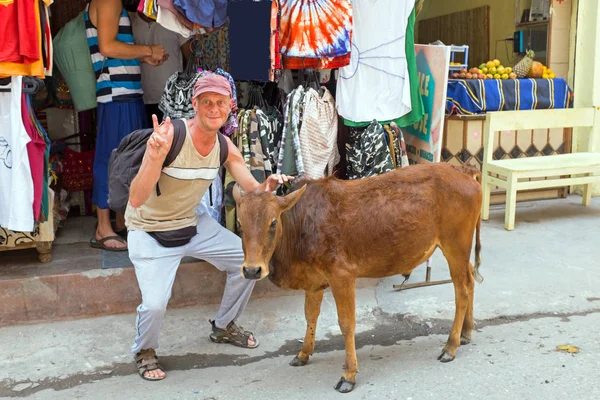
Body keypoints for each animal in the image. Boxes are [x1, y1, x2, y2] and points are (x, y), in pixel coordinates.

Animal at [234, 163, 482, 394]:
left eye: (273, 222)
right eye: (240, 223)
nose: (252, 270)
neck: (302, 222)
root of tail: (462, 169)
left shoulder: (342, 277)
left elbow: (346, 324)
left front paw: (348, 375)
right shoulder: (314, 282)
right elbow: (310, 316)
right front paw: (304, 353)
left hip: (455, 246)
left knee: (462, 289)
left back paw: (451, 346)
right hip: (459, 252)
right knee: (470, 278)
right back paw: (466, 332)